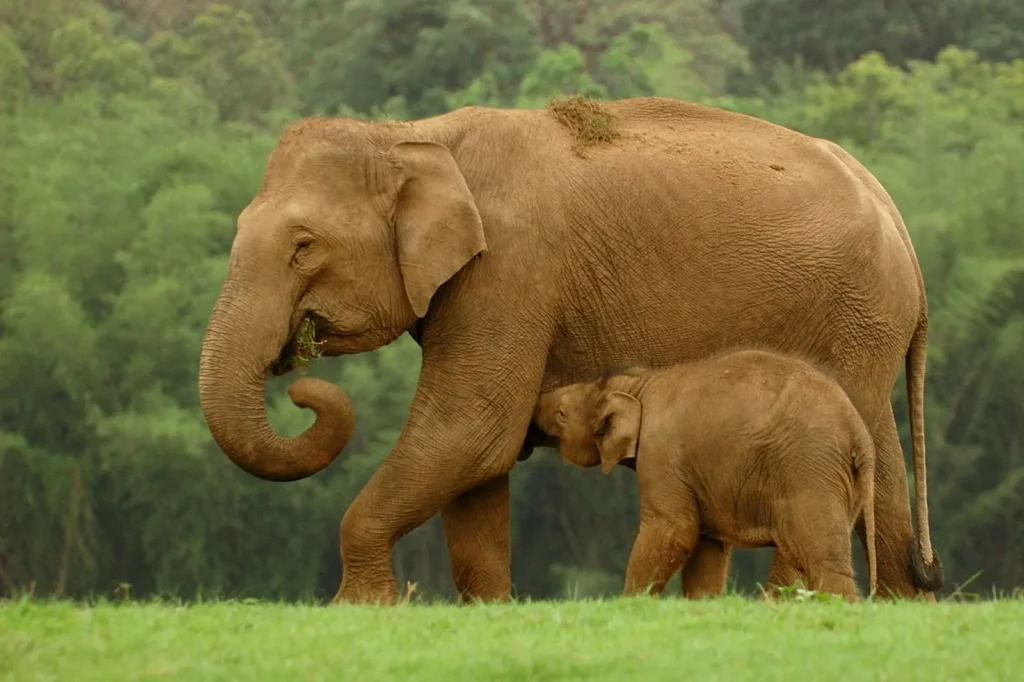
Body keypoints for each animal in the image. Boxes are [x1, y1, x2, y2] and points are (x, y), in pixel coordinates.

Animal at [532, 352, 879, 600]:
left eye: (561, 413)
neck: (638, 384)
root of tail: (858, 432)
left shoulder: (661, 455)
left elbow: (675, 530)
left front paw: (630, 605)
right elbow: (707, 549)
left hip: (808, 469)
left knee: (820, 556)